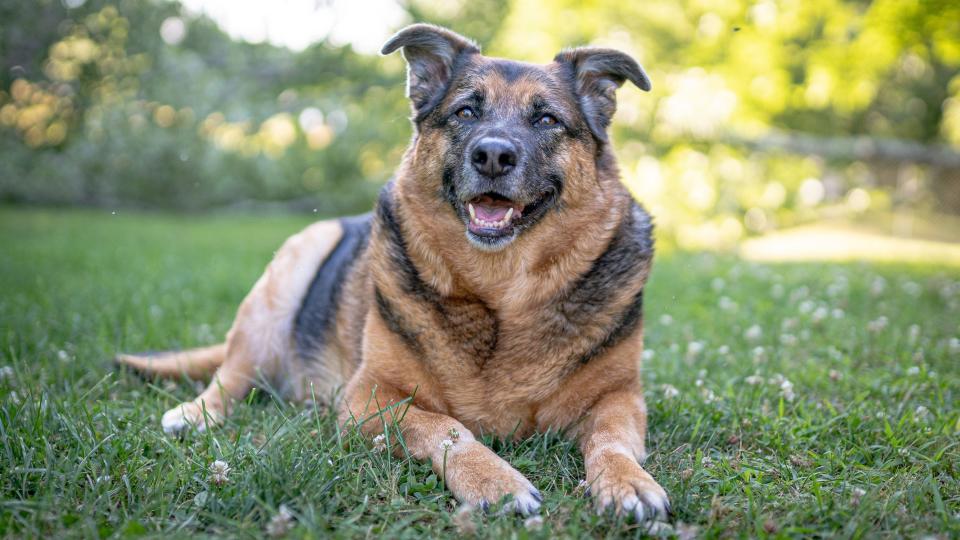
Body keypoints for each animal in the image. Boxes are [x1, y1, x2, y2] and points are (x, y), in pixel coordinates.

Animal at [118, 23, 668, 520]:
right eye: (466, 111)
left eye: (548, 119)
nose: (492, 154)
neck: (500, 290)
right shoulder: (368, 397)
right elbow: (443, 427)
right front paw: (494, 480)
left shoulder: (620, 397)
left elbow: (611, 440)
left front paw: (628, 482)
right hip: (291, 270)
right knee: (229, 376)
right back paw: (194, 414)